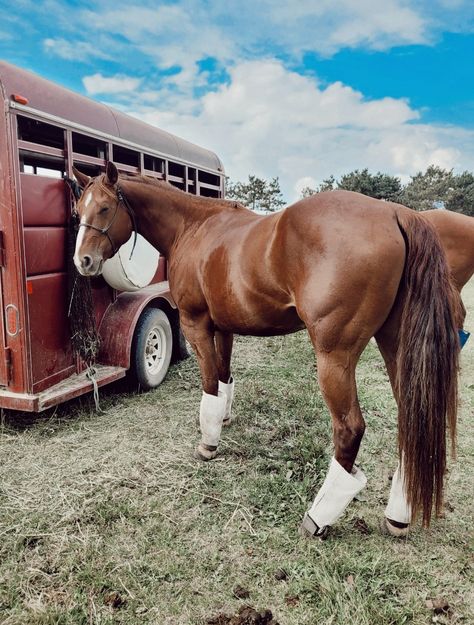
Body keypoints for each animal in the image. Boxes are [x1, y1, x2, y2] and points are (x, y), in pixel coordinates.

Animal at [71, 163, 470, 540]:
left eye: (105, 208)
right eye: (78, 209)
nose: (83, 261)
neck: (195, 227)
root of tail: (395, 213)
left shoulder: (196, 324)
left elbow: (209, 384)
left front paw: (208, 444)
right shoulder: (224, 327)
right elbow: (225, 377)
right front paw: (223, 421)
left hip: (334, 357)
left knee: (349, 429)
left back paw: (318, 517)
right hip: (395, 345)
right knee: (410, 420)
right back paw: (398, 515)